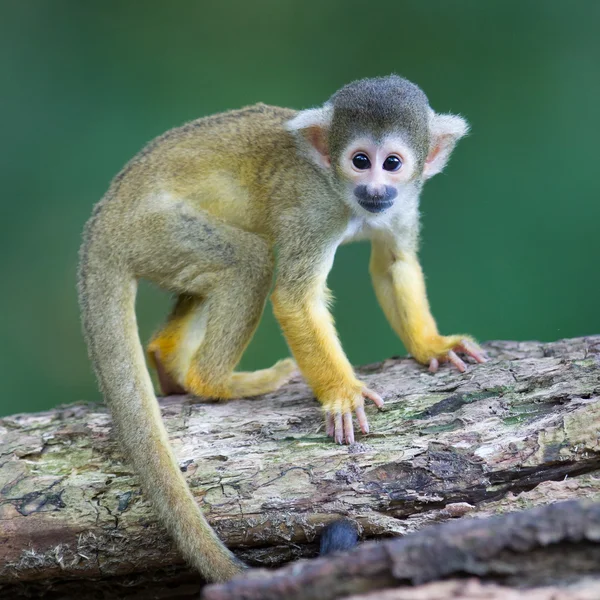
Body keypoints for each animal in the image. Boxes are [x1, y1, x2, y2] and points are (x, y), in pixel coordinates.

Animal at [76, 75, 488, 580]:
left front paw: (432, 346)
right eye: (360, 161)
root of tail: (103, 219)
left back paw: (168, 361)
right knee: (249, 260)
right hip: (154, 231)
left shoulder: (403, 201)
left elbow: (394, 263)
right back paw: (215, 381)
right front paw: (342, 395)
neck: (341, 190)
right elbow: (294, 298)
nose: (374, 189)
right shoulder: (314, 209)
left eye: (392, 163)